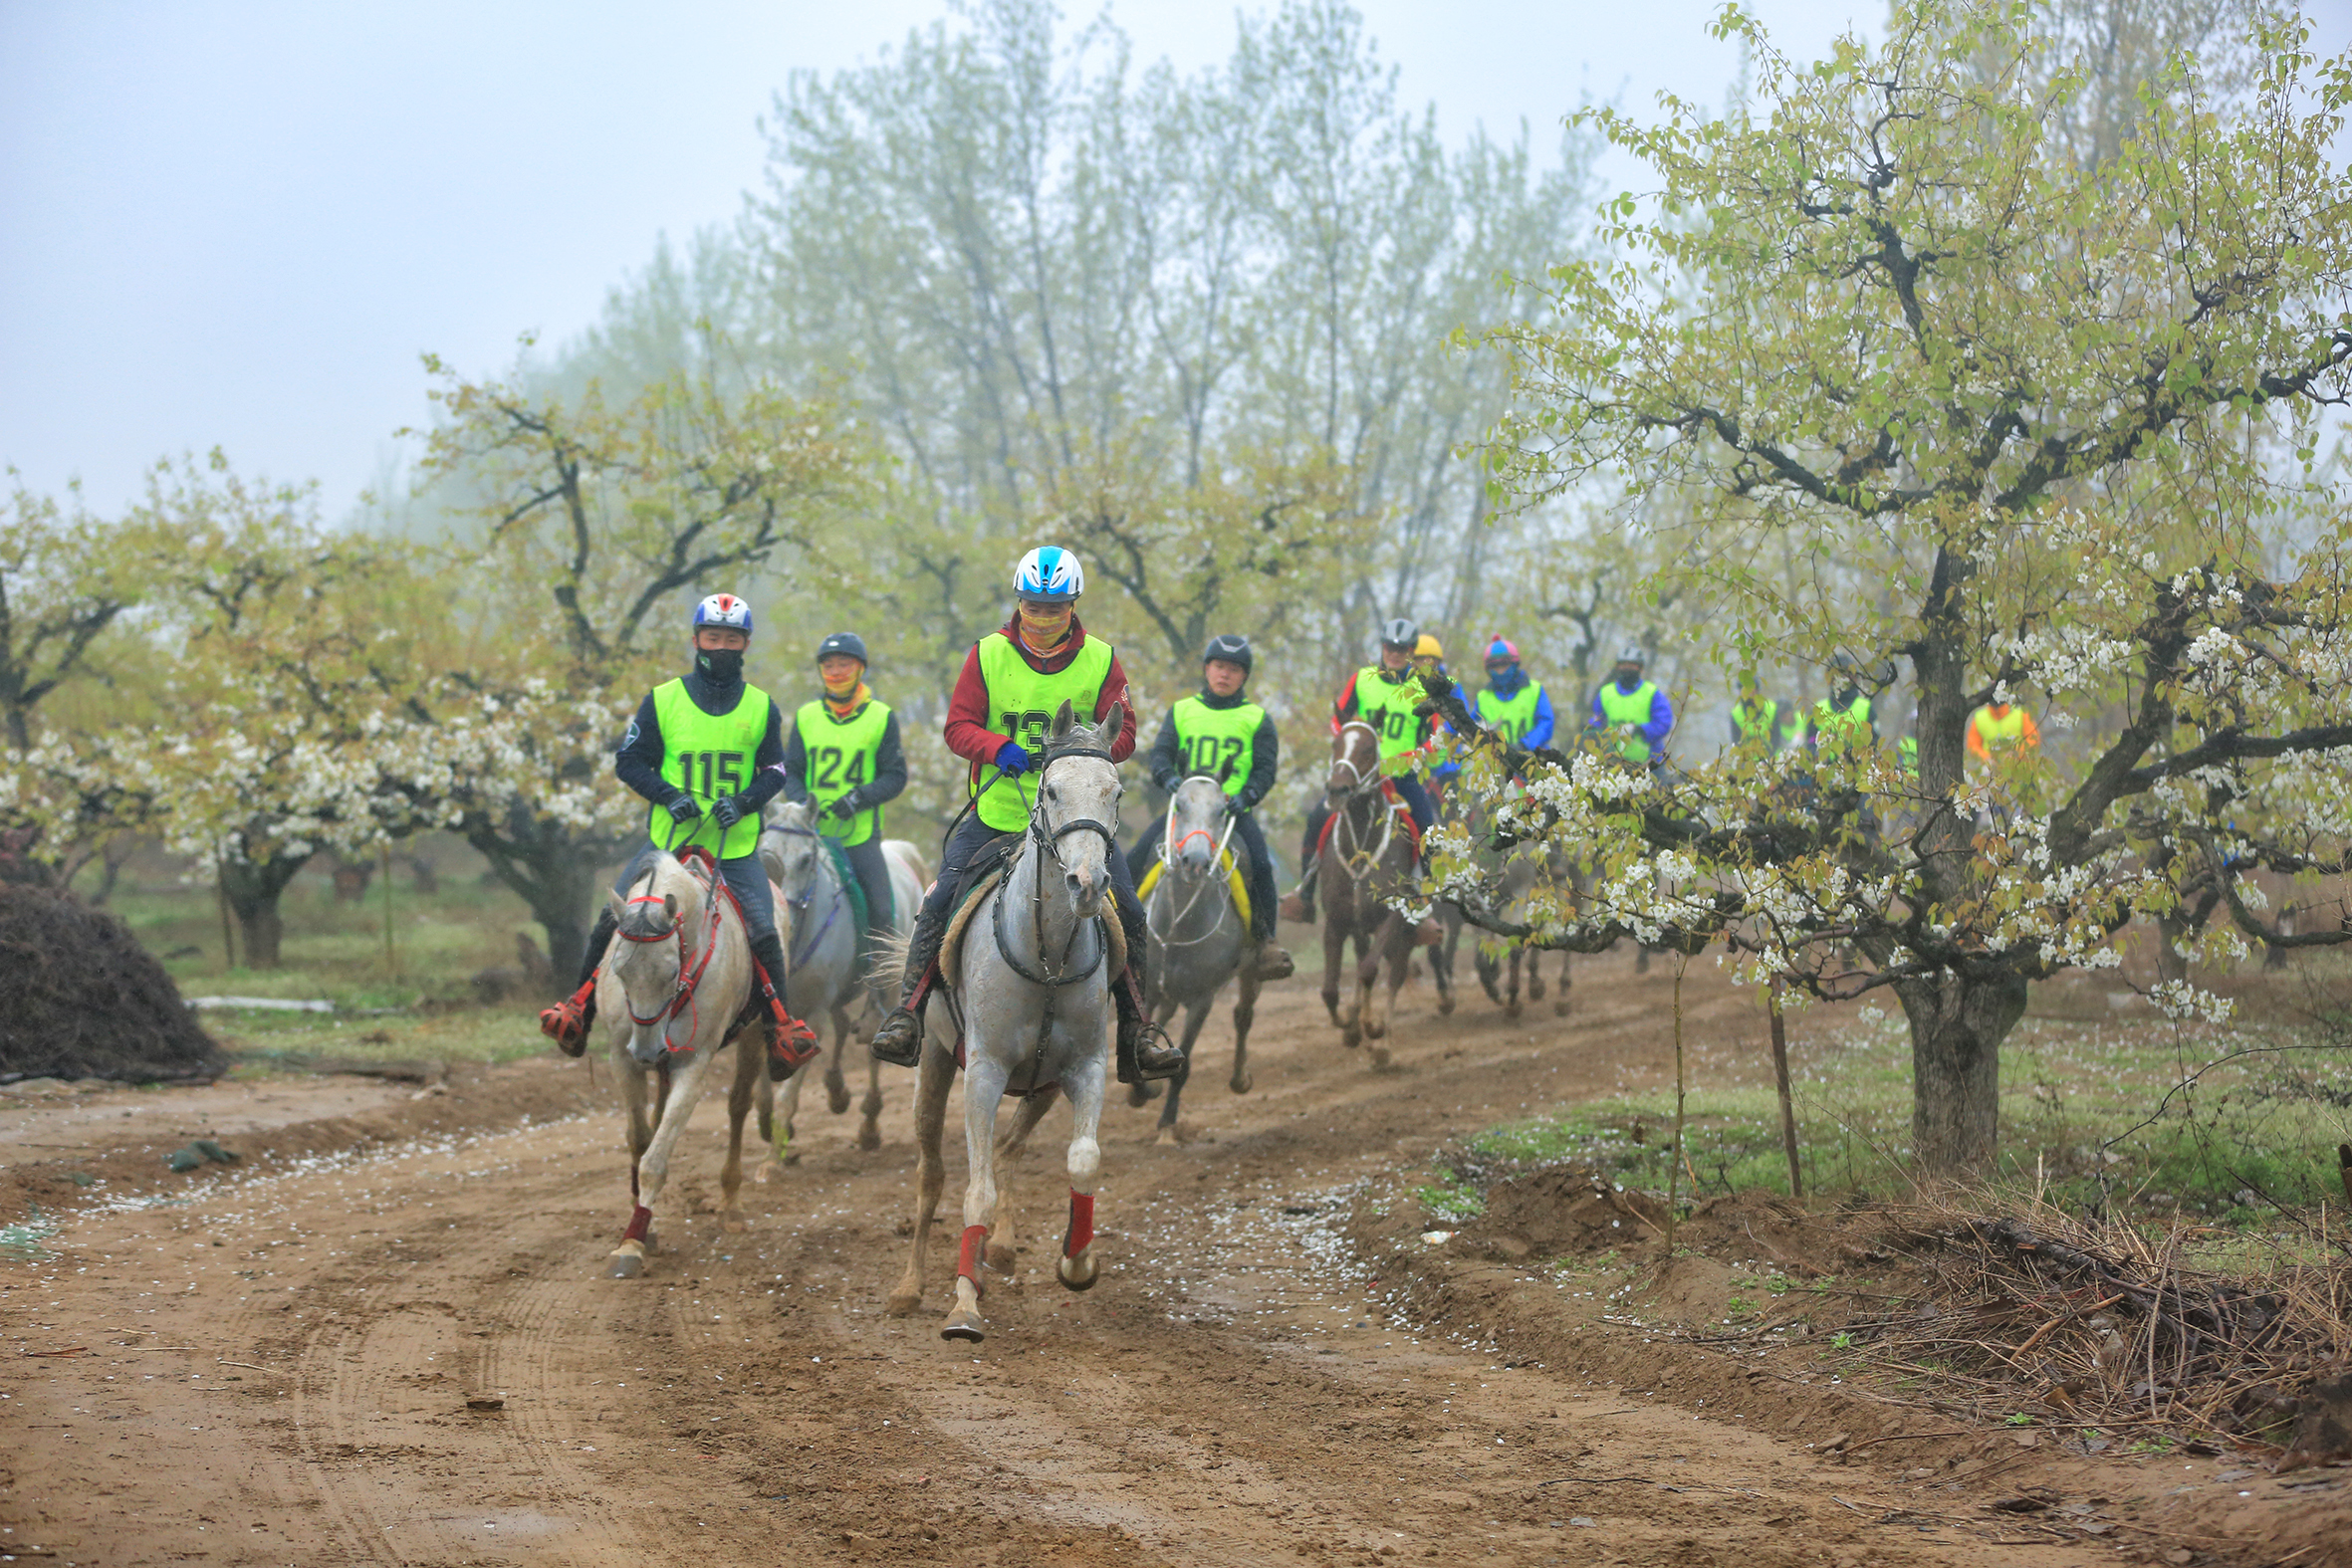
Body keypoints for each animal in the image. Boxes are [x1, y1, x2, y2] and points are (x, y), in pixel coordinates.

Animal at [596, 850, 771, 1278]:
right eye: (619, 969)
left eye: (671, 970)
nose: (647, 1050)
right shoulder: (621, 1058)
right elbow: (640, 1139)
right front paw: (645, 1227)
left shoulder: (692, 1064)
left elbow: (655, 1159)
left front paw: (631, 1245)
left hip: (752, 1037)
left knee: (738, 1106)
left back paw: (731, 1205)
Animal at [888, 705, 1128, 1344]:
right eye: (1051, 788)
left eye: (1115, 791)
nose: (1087, 884)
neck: (1048, 959)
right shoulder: (985, 1072)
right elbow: (974, 1192)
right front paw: (963, 1308)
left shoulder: (1086, 1068)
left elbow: (1083, 1161)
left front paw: (1077, 1262)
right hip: (935, 1065)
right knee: (931, 1176)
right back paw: (911, 1287)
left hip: (1041, 1086)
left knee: (1007, 1150)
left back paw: (997, 1252)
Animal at [1128, 780, 1261, 1147]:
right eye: (1180, 806)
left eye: (1221, 810)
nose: (1195, 861)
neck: (1179, 928)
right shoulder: (1147, 989)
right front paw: (1141, 1092)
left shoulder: (1202, 1000)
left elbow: (1184, 1065)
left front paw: (1167, 1125)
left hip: (1251, 971)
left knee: (1243, 1016)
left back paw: (1240, 1079)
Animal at [1316, 719, 1420, 1067]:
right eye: (1335, 745)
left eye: (1367, 749)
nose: (1337, 790)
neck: (1361, 848)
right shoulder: (1336, 922)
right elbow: (1329, 990)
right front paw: (1349, 1025)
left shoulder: (1392, 917)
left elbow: (1370, 971)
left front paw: (1373, 1029)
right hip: (1359, 926)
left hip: (1405, 931)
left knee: (1395, 973)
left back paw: (1382, 1043)